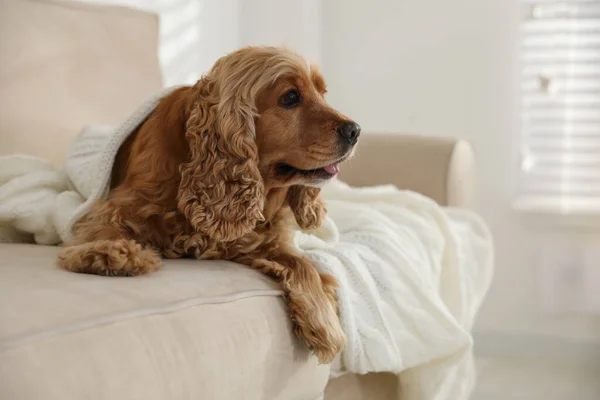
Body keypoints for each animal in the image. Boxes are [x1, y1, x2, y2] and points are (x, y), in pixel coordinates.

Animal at [57, 47, 360, 362]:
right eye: (290, 97)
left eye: (322, 94)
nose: (355, 130)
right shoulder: (118, 206)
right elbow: (103, 226)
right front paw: (108, 253)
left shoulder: (255, 236)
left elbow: (302, 262)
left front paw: (324, 323)